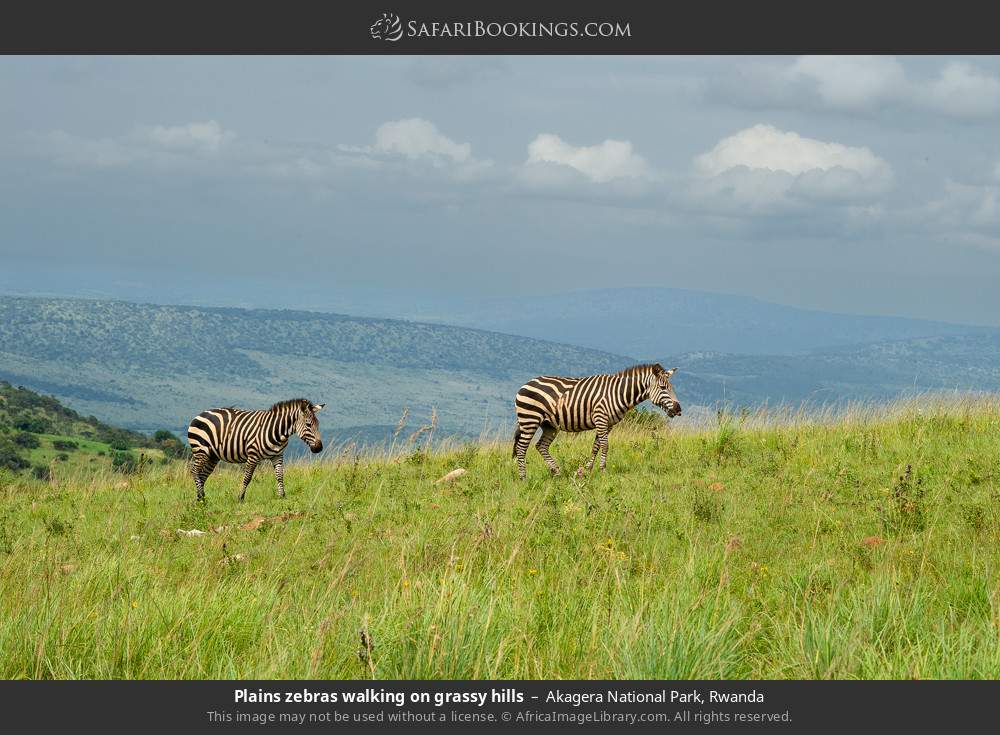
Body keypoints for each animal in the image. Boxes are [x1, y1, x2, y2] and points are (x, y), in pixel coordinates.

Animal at [186, 398, 325, 502]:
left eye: (318, 424)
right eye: (308, 424)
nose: (319, 448)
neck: (278, 431)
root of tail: (200, 414)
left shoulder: (278, 456)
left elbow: (280, 476)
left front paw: (282, 496)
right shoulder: (253, 455)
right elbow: (247, 477)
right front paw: (240, 498)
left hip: (213, 456)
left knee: (203, 475)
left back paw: (201, 498)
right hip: (201, 450)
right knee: (194, 470)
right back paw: (200, 496)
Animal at [512, 363, 680, 480]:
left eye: (671, 387)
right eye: (663, 387)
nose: (678, 409)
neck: (618, 393)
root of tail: (526, 384)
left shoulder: (609, 424)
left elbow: (596, 446)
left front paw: (586, 470)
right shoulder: (601, 418)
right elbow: (605, 446)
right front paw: (603, 470)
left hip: (549, 425)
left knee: (541, 446)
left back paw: (557, 472)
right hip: (530, 420)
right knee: (521, 448)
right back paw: (523, 478)